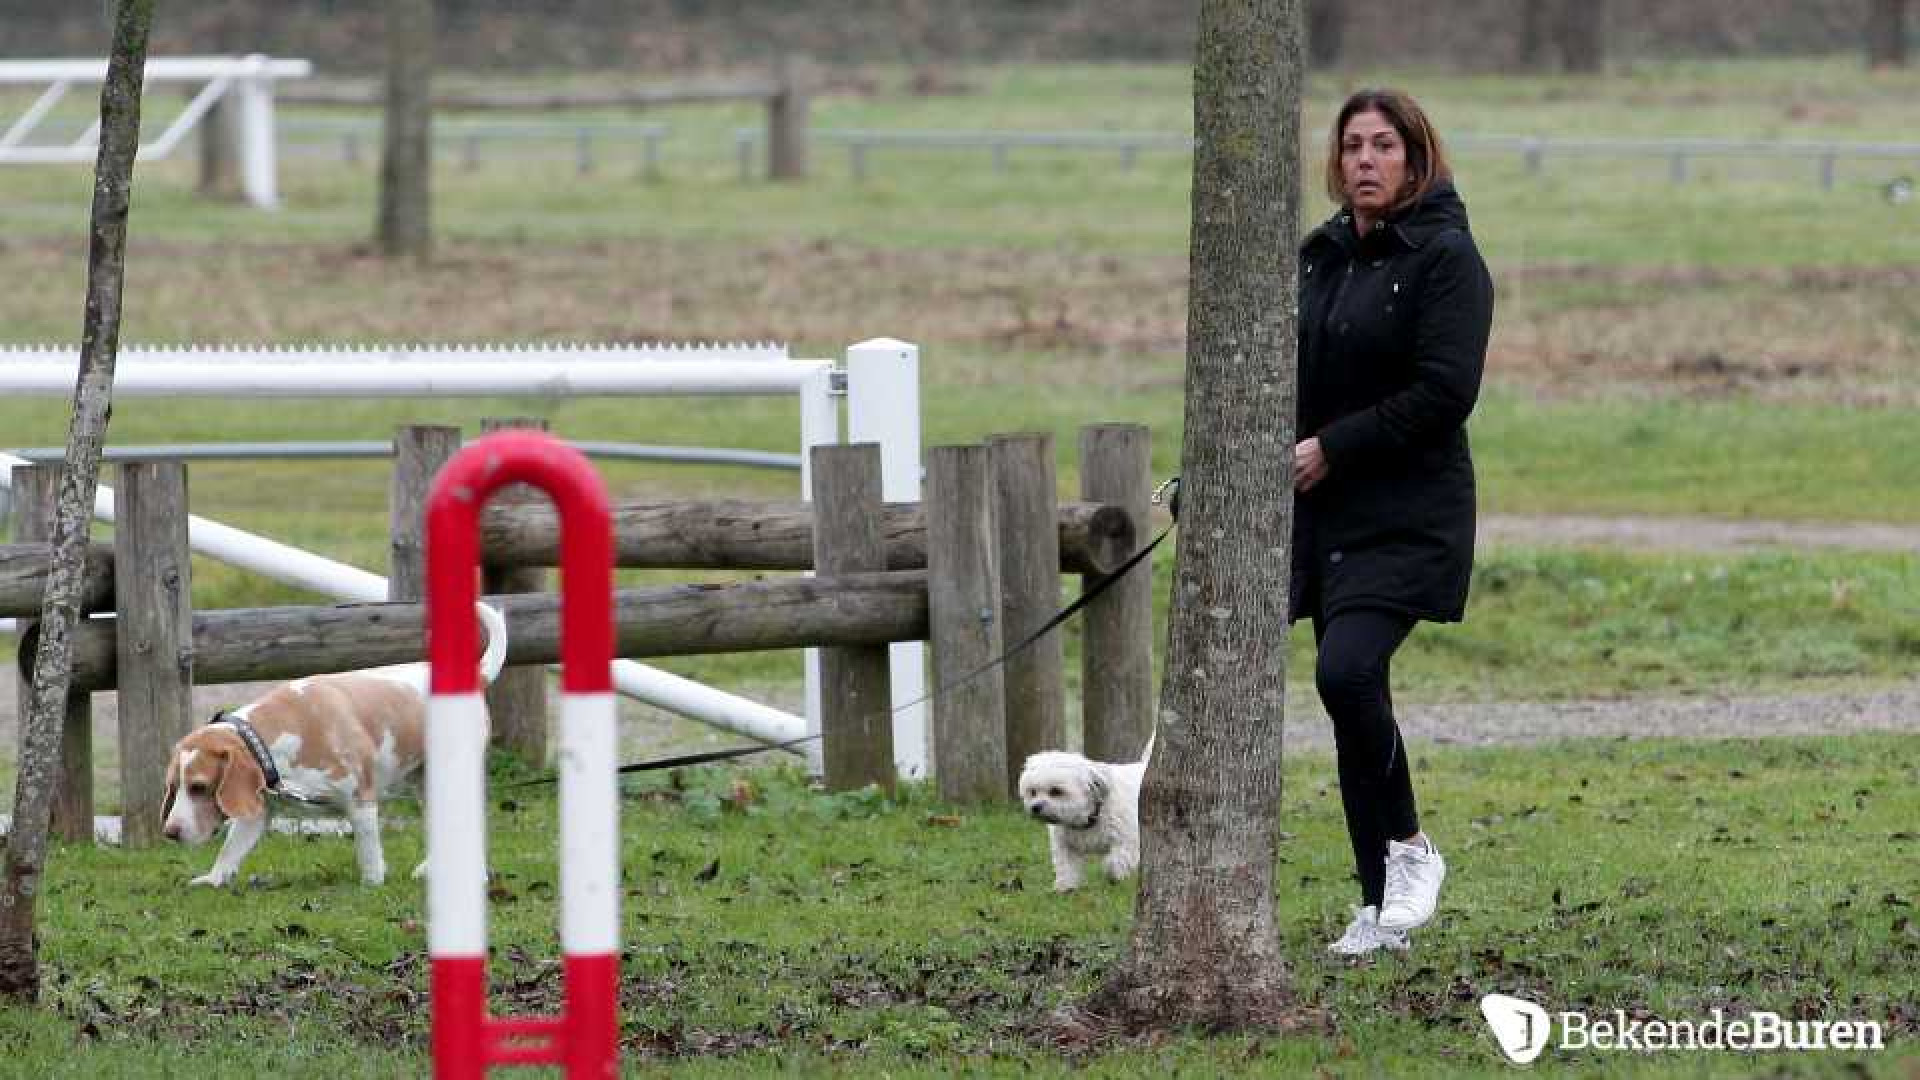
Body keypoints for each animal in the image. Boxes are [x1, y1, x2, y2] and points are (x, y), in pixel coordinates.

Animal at [1021, 730, 1152, 891]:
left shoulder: (1128, 840)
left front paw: (1113, 875)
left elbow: (1115, 862)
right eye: (1033, 792)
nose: (1035, 807)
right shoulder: (1066, 845)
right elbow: (1067, 867)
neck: (1090, 818)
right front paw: (1066, 887)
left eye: (1056, 791)